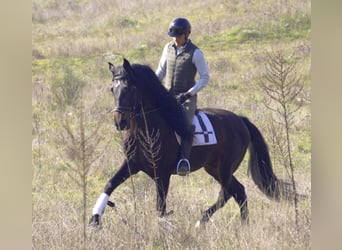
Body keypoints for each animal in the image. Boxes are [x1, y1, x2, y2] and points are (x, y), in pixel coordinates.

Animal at [89, 58, 288, 227]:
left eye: (130, 88)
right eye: (112, 89)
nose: (119, 122)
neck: (144, 128)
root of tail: (240, 120)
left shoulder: (162, 174)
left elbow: (160, 206)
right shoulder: (132, 164)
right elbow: (109, 184)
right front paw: (95, 219)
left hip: (225, 167)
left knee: (227, 192)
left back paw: (203, 220)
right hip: (213, 168)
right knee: (238, 191)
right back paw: (243, 224)